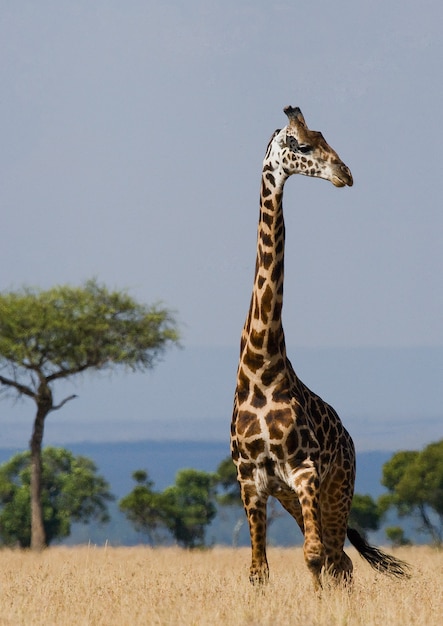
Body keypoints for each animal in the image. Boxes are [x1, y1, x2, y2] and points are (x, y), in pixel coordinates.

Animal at [231, 105, 412, 588]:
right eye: (303, 145)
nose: (345, 174)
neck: (262, 363)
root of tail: (349, 437)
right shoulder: (251, 481)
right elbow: (258, 572)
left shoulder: (305, 471)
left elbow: (312, 558)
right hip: (294, 499)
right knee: (337, 559)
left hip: (335, 489)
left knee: (336, 560)